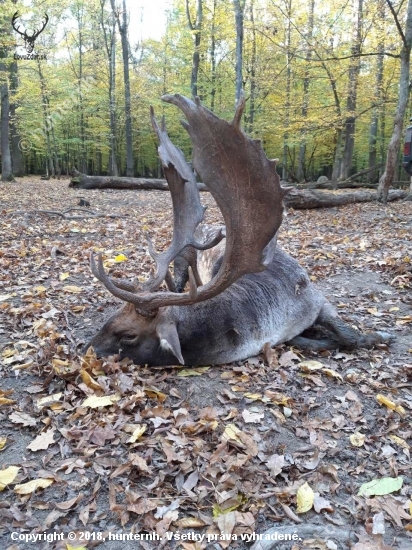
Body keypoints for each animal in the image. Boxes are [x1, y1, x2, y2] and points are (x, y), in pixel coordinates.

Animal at [87, 91, 392, 366]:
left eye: (128, 335)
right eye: (113, 314)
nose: (86, 347)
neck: (274, 324)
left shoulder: (316, 298)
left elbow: (349, 336)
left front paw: (380, 336)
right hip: (185, 258)